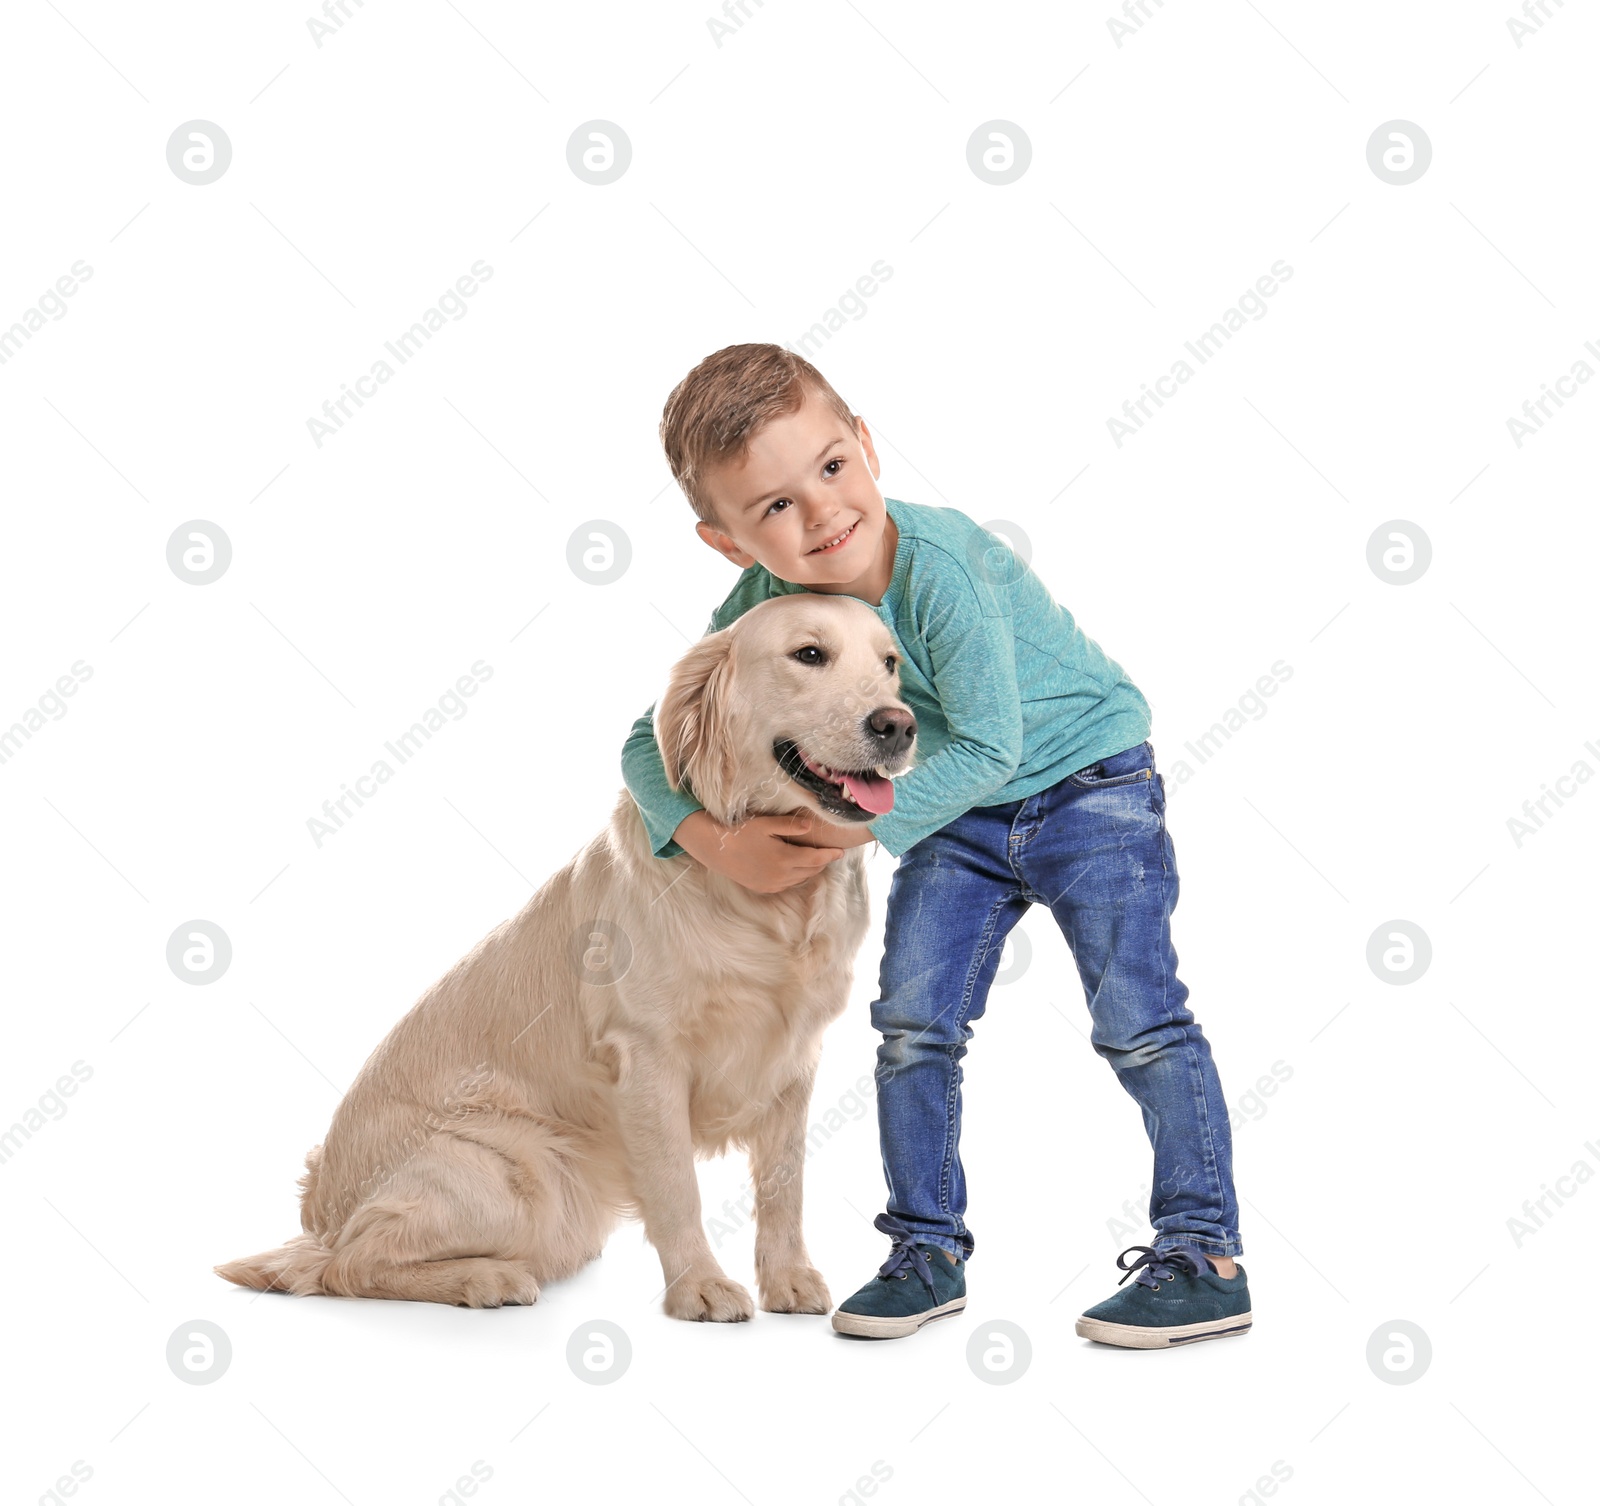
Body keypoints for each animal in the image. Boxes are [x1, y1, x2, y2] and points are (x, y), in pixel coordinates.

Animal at [216, 592, 915, 1318]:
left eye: (890, 664)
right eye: (809, 654)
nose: (899, 726)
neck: (770, 904)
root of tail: (319, 1213)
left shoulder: (794, 1058)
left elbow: (785, 1184)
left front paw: (788, 1278)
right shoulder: (647, 1056)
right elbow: (678, 1188)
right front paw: (699, 1285)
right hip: (519, 1171)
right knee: (348, 1263)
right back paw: (485, 1278)